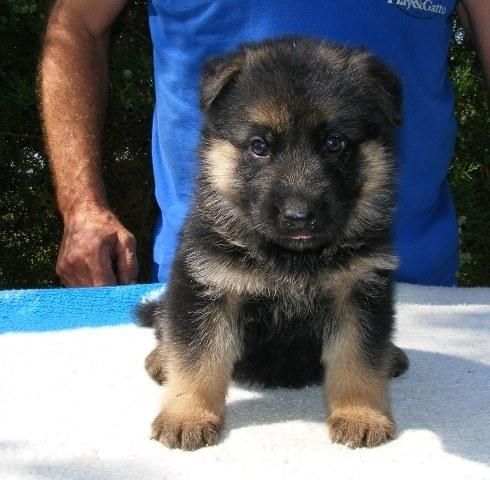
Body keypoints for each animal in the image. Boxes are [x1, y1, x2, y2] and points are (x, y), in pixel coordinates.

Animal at [139, 36, 410, 450]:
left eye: (334, 143)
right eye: (259, 146)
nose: (299, 216)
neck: (292, 259)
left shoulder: (358, 293)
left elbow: (357, 360)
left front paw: (359, 413)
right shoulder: (207, 288)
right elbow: (196, 359)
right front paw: (187, 414)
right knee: (165, 323)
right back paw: (160, 358)